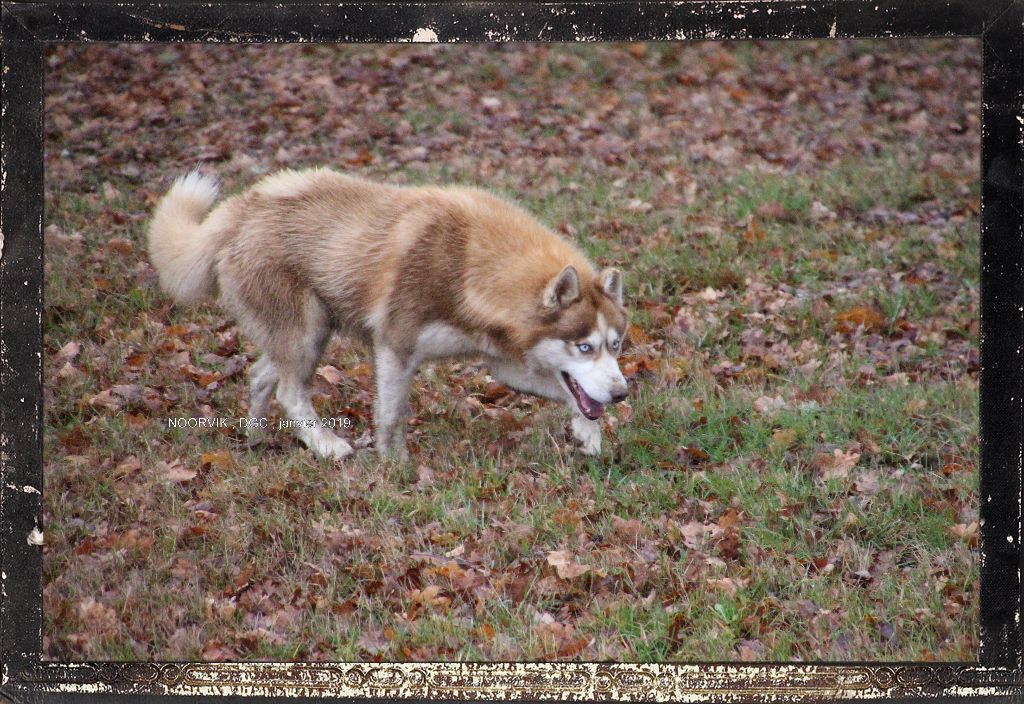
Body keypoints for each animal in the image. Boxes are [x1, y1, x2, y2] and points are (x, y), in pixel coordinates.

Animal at [147, 167, 626, 458]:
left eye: (615, 346)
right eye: (584, 347)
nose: (622, 392)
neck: (469, 265)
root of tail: (239, 209)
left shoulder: (502, 365)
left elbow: (571, 395)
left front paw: (588, 432)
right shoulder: (395, 347)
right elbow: (391, 415)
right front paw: (395, 465)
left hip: (310, 332)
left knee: (262, 376)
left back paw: (257, 437)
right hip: (307, 332)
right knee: (289, 391)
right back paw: (327, 445)